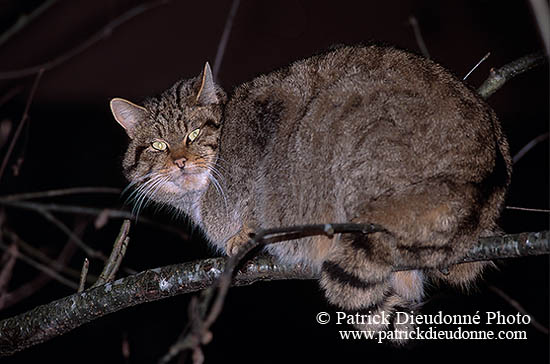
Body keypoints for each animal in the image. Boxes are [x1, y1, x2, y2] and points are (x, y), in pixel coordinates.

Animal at [111, 44, 512, 340]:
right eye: (159, 145)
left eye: (193, 134)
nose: (179, 161)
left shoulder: (269, 117)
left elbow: (257, 188)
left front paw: (246, 228)